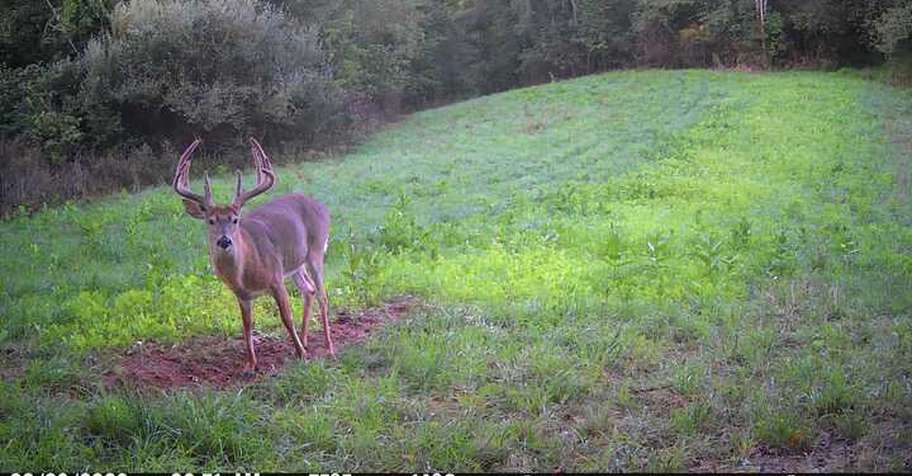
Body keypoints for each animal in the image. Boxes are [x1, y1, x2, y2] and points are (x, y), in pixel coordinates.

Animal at [172, 137, 334, 373]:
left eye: (235, 219)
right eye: (210, 221)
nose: (224, 241)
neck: (245, 271)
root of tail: (321, 206)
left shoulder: (276, 278)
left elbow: (286, 317)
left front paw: (301, 355)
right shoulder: (241, 295)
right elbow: (246, 325)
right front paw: (250, 364)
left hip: (315, 250)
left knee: (323, 294)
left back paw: (328, 347)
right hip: (295, 263)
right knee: (309, 290)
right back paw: (305, 340)